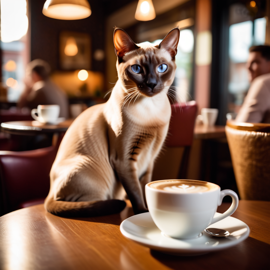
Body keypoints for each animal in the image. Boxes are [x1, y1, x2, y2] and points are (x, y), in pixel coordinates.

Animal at [44, 27, 179, 217]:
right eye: (137, 69)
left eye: (162, 68)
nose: (151, 84)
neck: (150, 111)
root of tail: (48, 192)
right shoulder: (124, 159)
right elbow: (136, 192)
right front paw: (141, 212)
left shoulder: (150, 158)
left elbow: (145, 187)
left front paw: (147, 211)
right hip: (89, 168)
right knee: (86, 203)